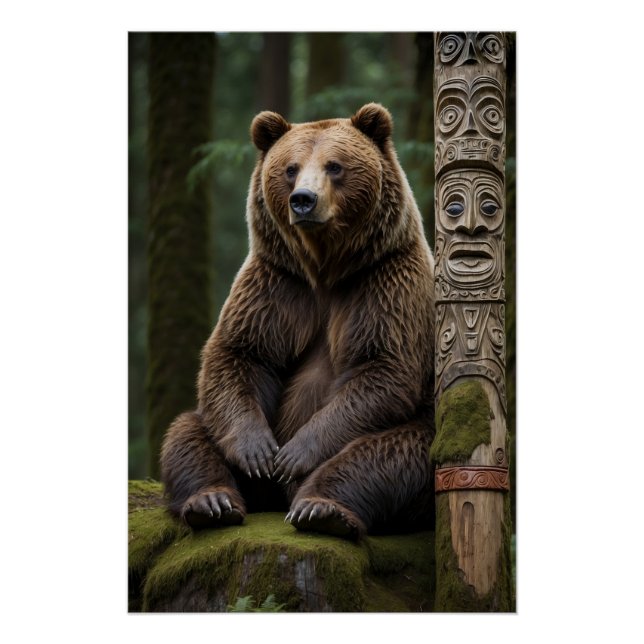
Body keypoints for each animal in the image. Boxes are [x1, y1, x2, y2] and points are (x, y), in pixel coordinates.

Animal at [160, 103, 436, 539]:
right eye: (290, 168)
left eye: (335, 166)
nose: (303, 200)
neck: (326, 269)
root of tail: (275, 500)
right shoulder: (277, 284)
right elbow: (240, 353)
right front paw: (260, 453)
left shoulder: (385, 283)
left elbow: (382, 368)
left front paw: (291, 455)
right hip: (218, 431)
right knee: (188, 432)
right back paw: (212, 502)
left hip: (425, 427)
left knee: (390, 454)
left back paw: (321, 507)